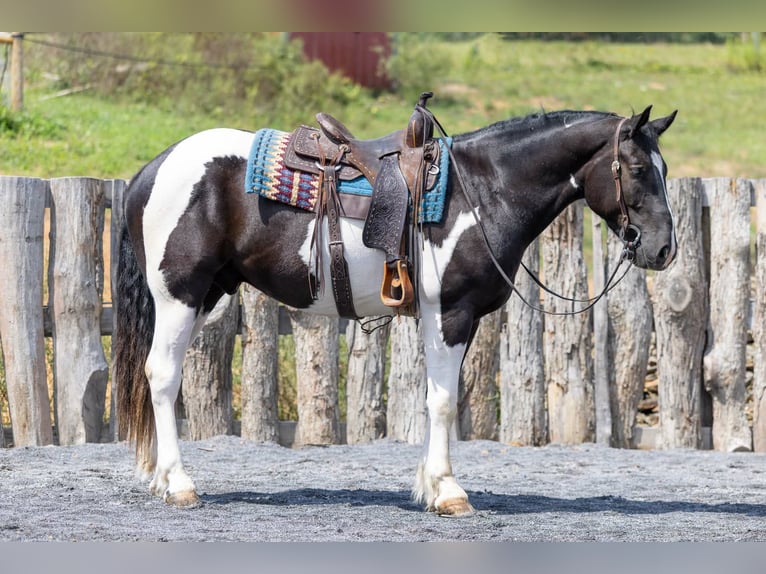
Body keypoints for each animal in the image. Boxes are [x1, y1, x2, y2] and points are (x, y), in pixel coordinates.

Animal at [113, 103, 677, 516]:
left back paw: (162, 479)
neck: (483, 190)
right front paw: (448, 492)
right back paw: (179, 484)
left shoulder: (455, 320)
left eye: (665, 169)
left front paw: (428, 486)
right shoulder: (449, 314)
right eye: (638, 169)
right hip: (180, 296)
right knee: (162, 376)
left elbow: (435, 399)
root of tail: (150, 170)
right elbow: (443, 403)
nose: (663, 249)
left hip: (203, 296)